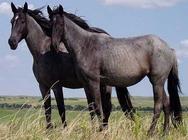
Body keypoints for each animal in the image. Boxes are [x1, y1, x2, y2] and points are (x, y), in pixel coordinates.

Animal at [7, 2, 134, 130]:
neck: (43, 52)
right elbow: (47, 110)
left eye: (22, 21)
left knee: (106, 108)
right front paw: (48, 130)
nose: (11, 42)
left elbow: (61, 109)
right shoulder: (43, 86)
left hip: (105, 86)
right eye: (12, 21)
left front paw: (64, 130)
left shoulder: (56, 86)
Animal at [48, 4, 182, 135]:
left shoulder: (94, 82)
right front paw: (95, 130)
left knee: (158, 106)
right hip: (159, 82)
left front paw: (101, 131)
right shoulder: (86, 84)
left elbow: (98, 108)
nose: (53, 46)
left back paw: (150, 132)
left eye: (60, 24)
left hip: (157, 82)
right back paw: (165, 132)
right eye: (49, 24)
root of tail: (169, 49)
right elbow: (91, 108)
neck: (85, 45)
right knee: (167, 105)